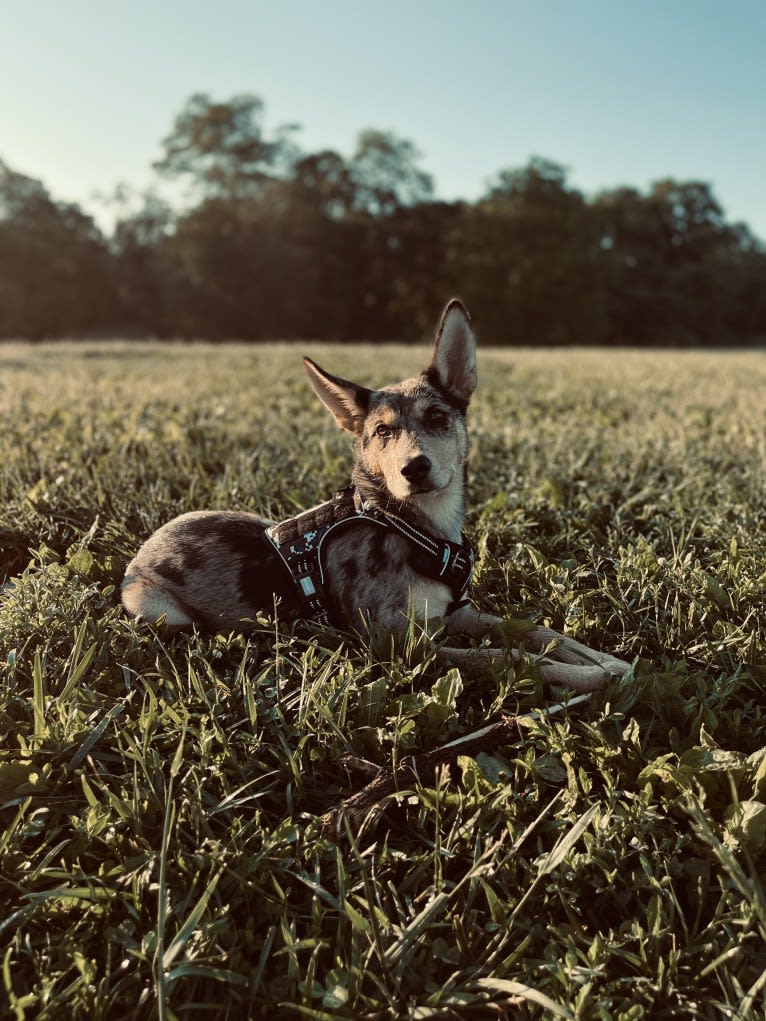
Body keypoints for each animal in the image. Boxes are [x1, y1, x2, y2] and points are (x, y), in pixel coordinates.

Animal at [123, 298, 633, 694]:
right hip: (154, 607)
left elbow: (532, 629)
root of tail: (145, 548)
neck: (411, 527)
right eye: (382, 431)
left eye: (437, 416)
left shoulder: (457, 613)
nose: (414, 468)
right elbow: (507, 657)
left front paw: (605, 660)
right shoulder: (402, 644)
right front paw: (588, 678)